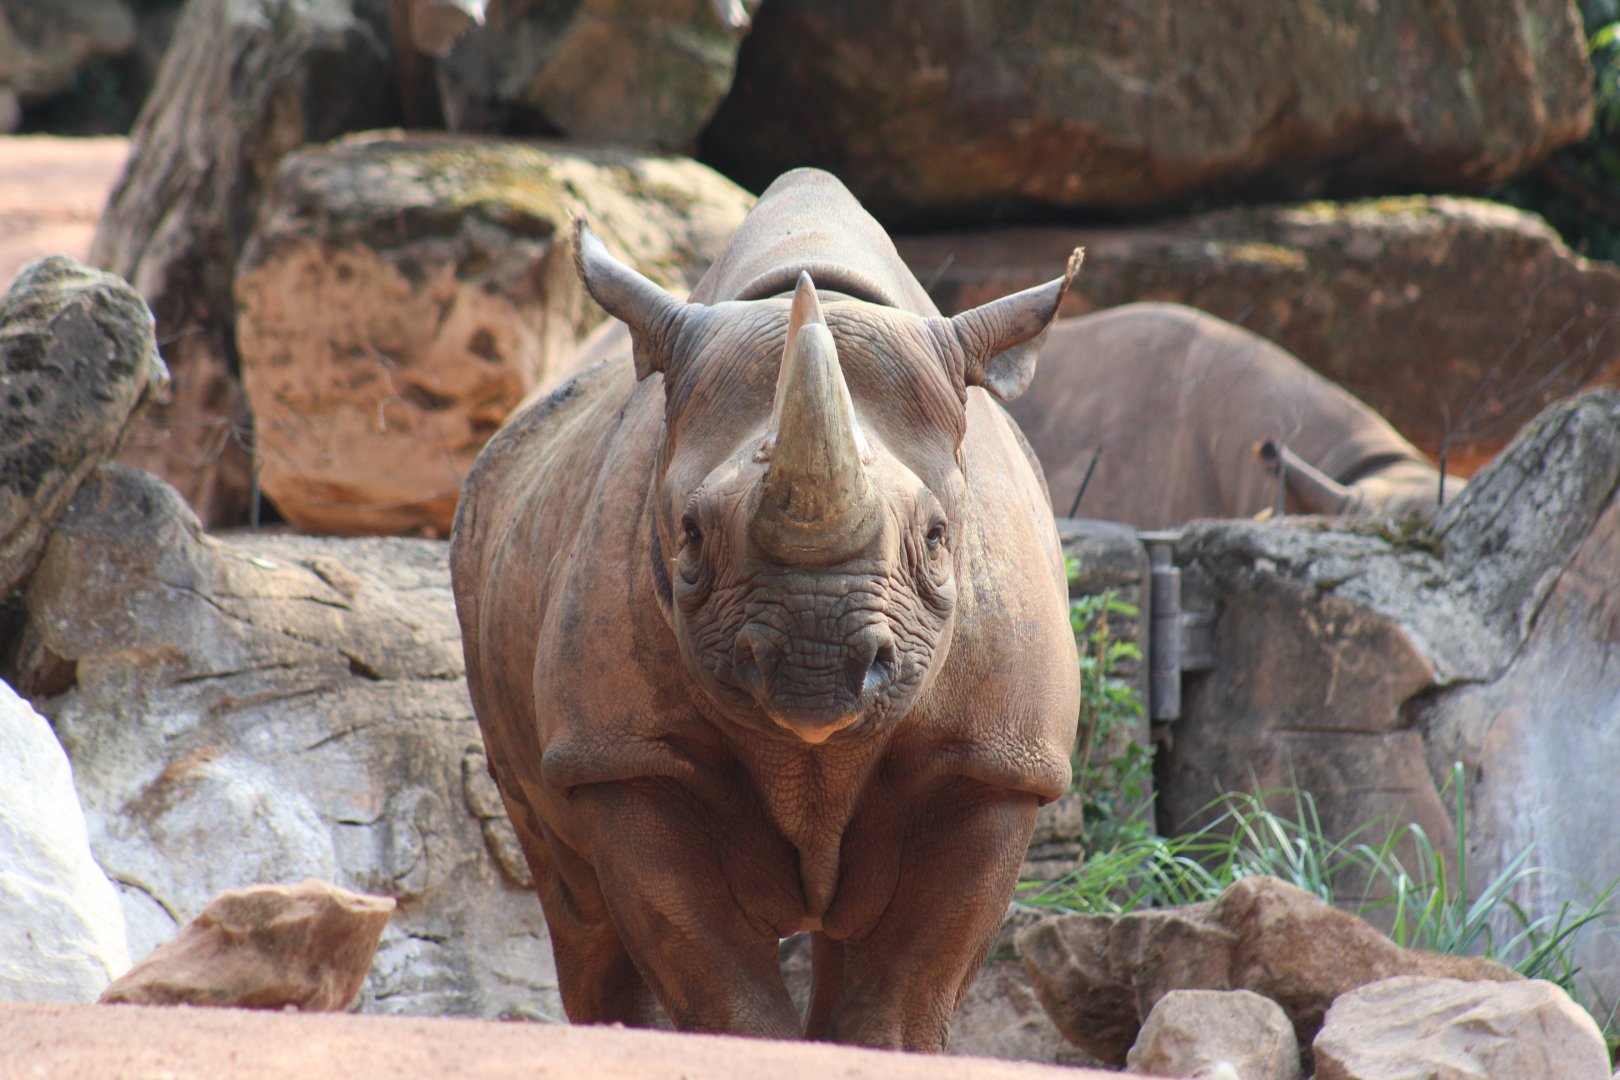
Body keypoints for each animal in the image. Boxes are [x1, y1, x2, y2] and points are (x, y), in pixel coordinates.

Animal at [450, 169, 1082, 1048]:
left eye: (937, 538)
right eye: (689, 536)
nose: (815, 668)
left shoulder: (994, 762)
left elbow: (905, 993)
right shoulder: (625, 753)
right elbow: (713, 977)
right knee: (574, 897)